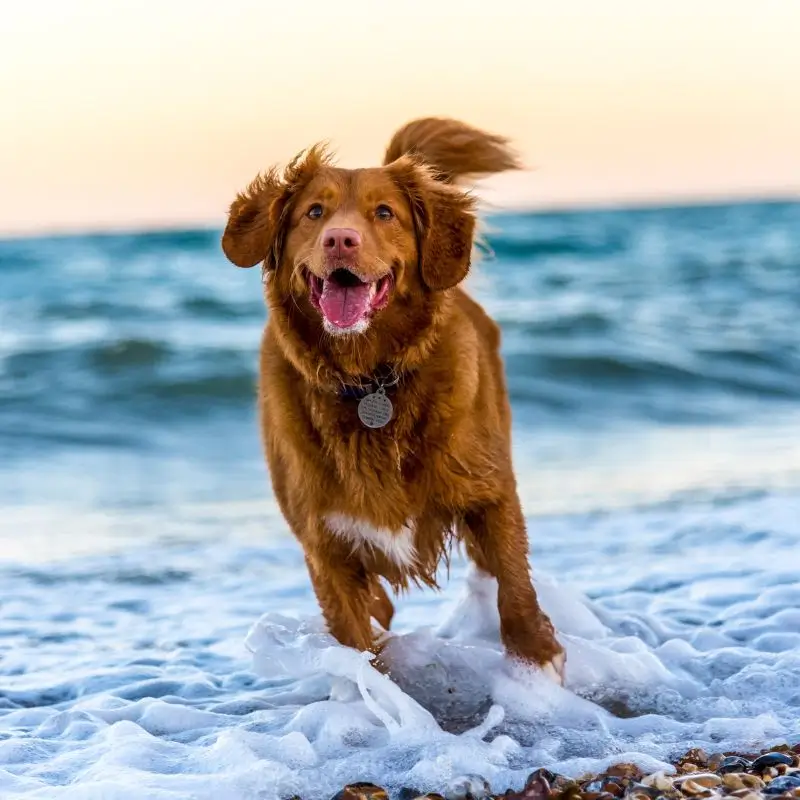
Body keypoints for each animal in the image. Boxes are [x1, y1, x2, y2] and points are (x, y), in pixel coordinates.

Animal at [222, 117, 564, 680]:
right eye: (314, 212)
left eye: (384, 213)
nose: (340, 239)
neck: (369, 381)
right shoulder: (324, 544)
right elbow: (356, 640)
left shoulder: (489, 491)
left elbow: (514, 583)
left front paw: (537, 659)